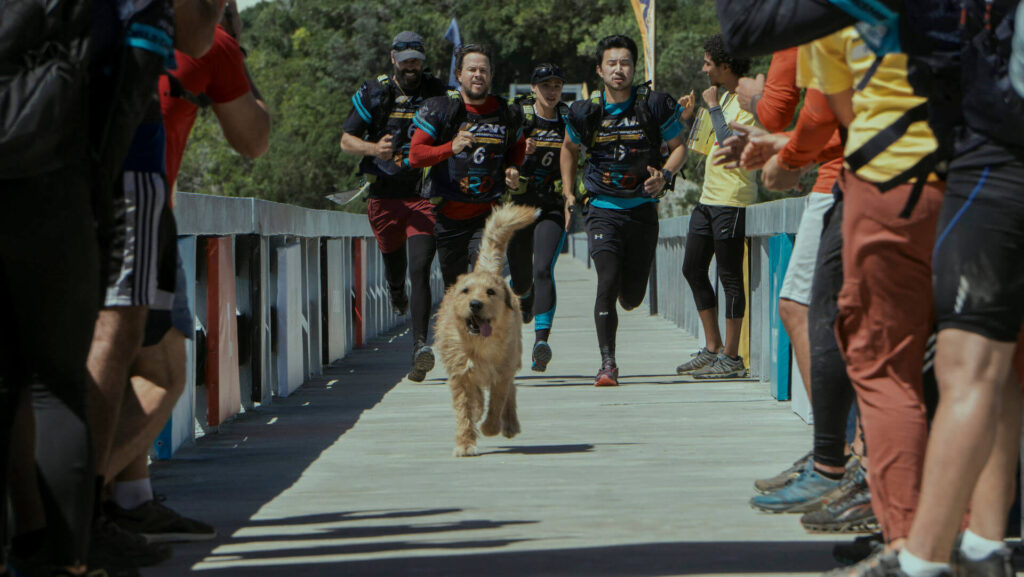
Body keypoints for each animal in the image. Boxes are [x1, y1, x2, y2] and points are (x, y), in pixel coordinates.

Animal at [434, 204, 540, 459]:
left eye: (490, 292)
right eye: (466, 291)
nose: (475, 304)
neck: (479, 345)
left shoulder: (502, 371)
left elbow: (498, 400)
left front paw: (490, 427)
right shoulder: (460, 376)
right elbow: (465, 410)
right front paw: (465, 443)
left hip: (513, 358)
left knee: (510, 391)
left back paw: (509, 424)